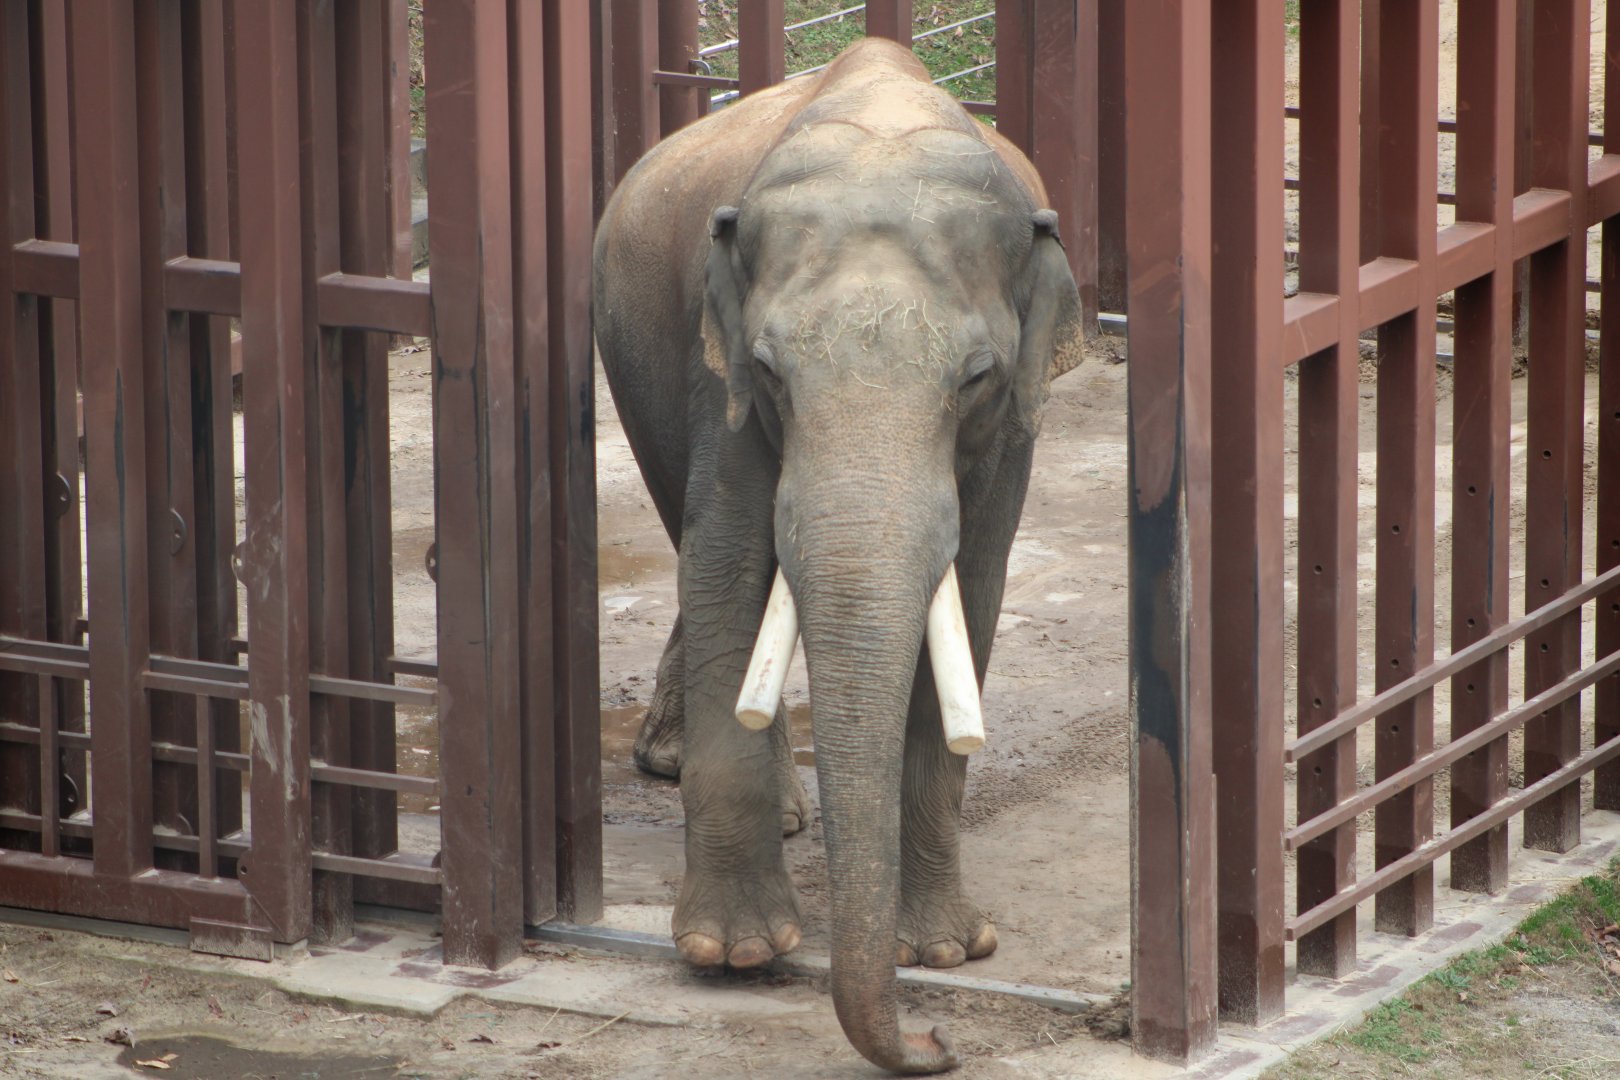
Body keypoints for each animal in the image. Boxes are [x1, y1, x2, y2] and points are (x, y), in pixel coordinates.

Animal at [592, 38, 1082, 1074]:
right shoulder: (717, 376)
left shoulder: (1013, 427)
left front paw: (946, 951)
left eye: (976, 377)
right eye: (771, 370)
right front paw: (733, 954)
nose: (940, 1039)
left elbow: (973, 589)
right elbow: (729, 559)